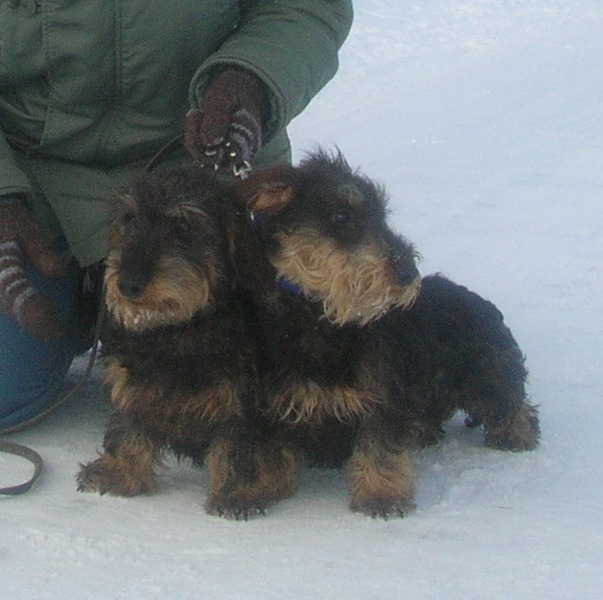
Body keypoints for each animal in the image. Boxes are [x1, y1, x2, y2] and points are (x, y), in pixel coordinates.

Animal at [76, 167, 297, 519]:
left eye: (183, 226)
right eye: (129, 220)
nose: (127, 284)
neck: (180, 326)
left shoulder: (246, 401)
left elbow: (238, 447)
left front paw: (238, 492)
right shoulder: (133, 380)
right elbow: (127, 426)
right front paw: (120, 471)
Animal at [232, 149, 540, 518]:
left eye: (382, 216)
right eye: (340, 215)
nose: (408, 273)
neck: (319, 315)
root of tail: (477, 300)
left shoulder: (381, 398)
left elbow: (379, 447)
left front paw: (382, 496)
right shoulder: (271, 405)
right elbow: (265, 451)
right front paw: (255, 489)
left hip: (486, 378)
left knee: (514, 404)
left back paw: (515, 434)